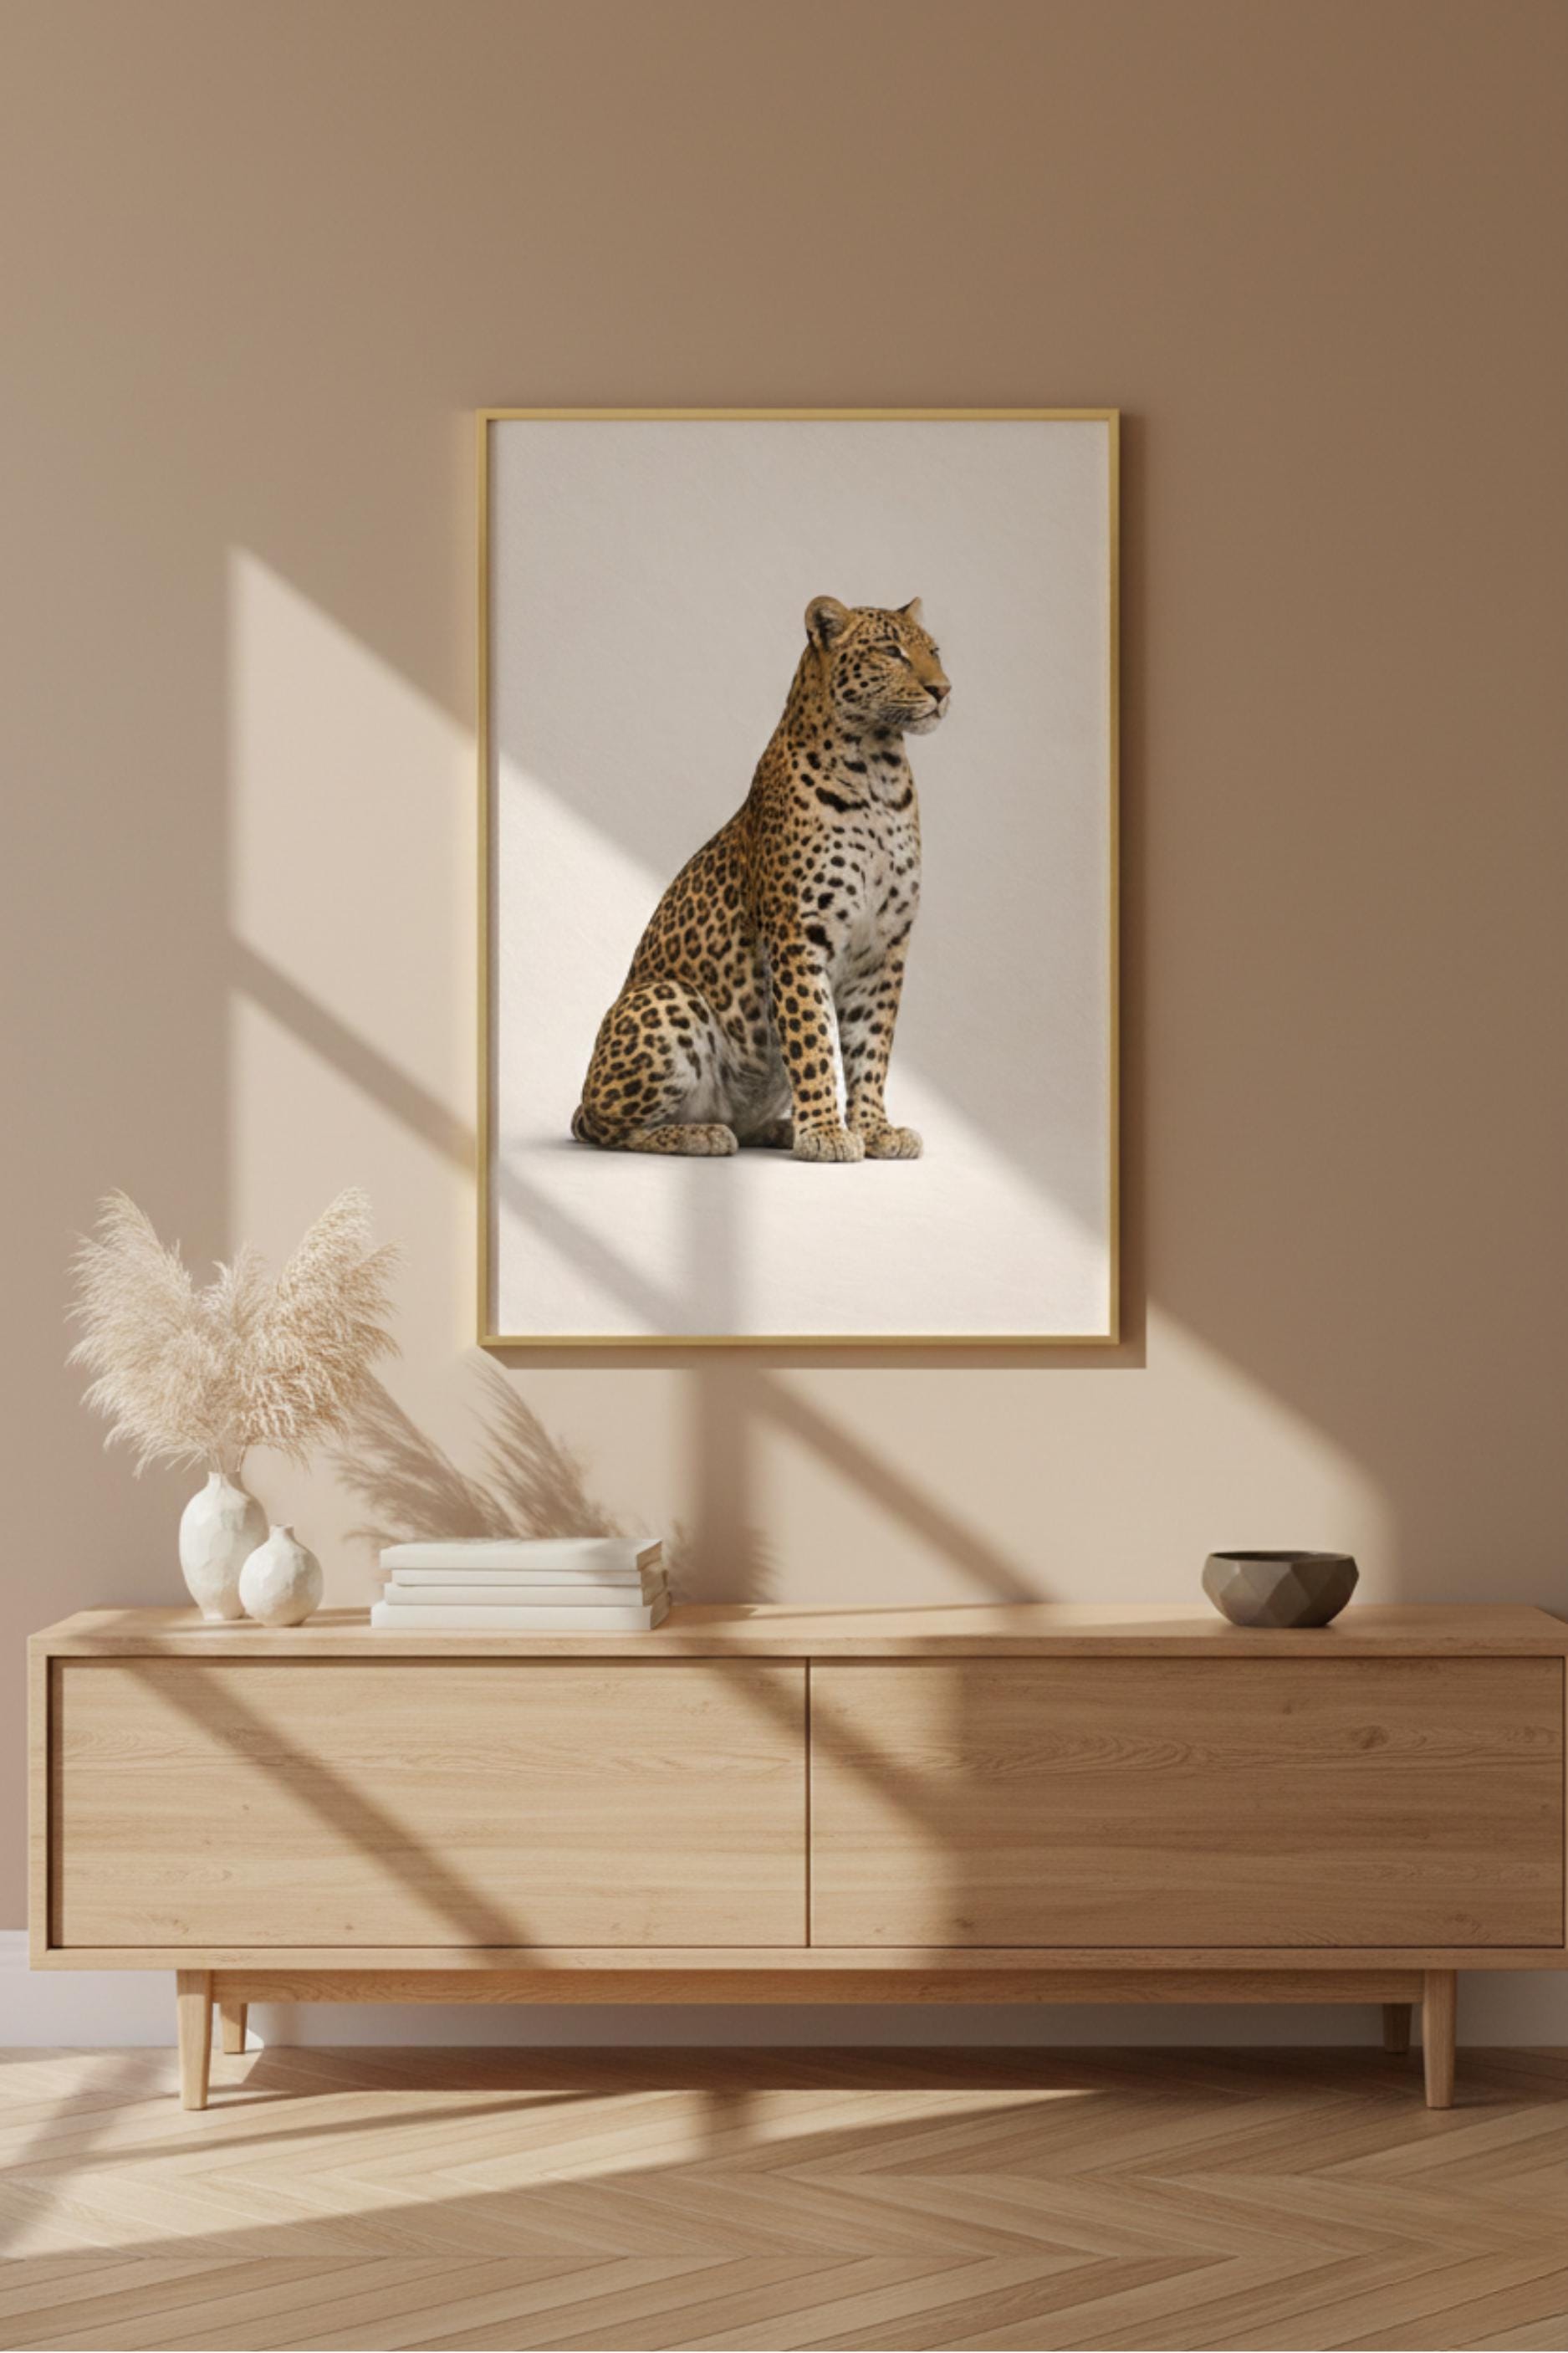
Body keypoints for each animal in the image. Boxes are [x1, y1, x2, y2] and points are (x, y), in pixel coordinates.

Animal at [571, 595, 950, 1162]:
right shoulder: (800, 934)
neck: (878, 770)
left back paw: (777, 1128)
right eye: (891, 652)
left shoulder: (884, 947)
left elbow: (871, 1047)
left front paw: (875, 1129)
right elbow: (813, 1039)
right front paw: (826, 1133)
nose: (943, 689)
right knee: (608, 1129)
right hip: (667, 998)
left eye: (935, 652)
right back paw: (702, 1134)